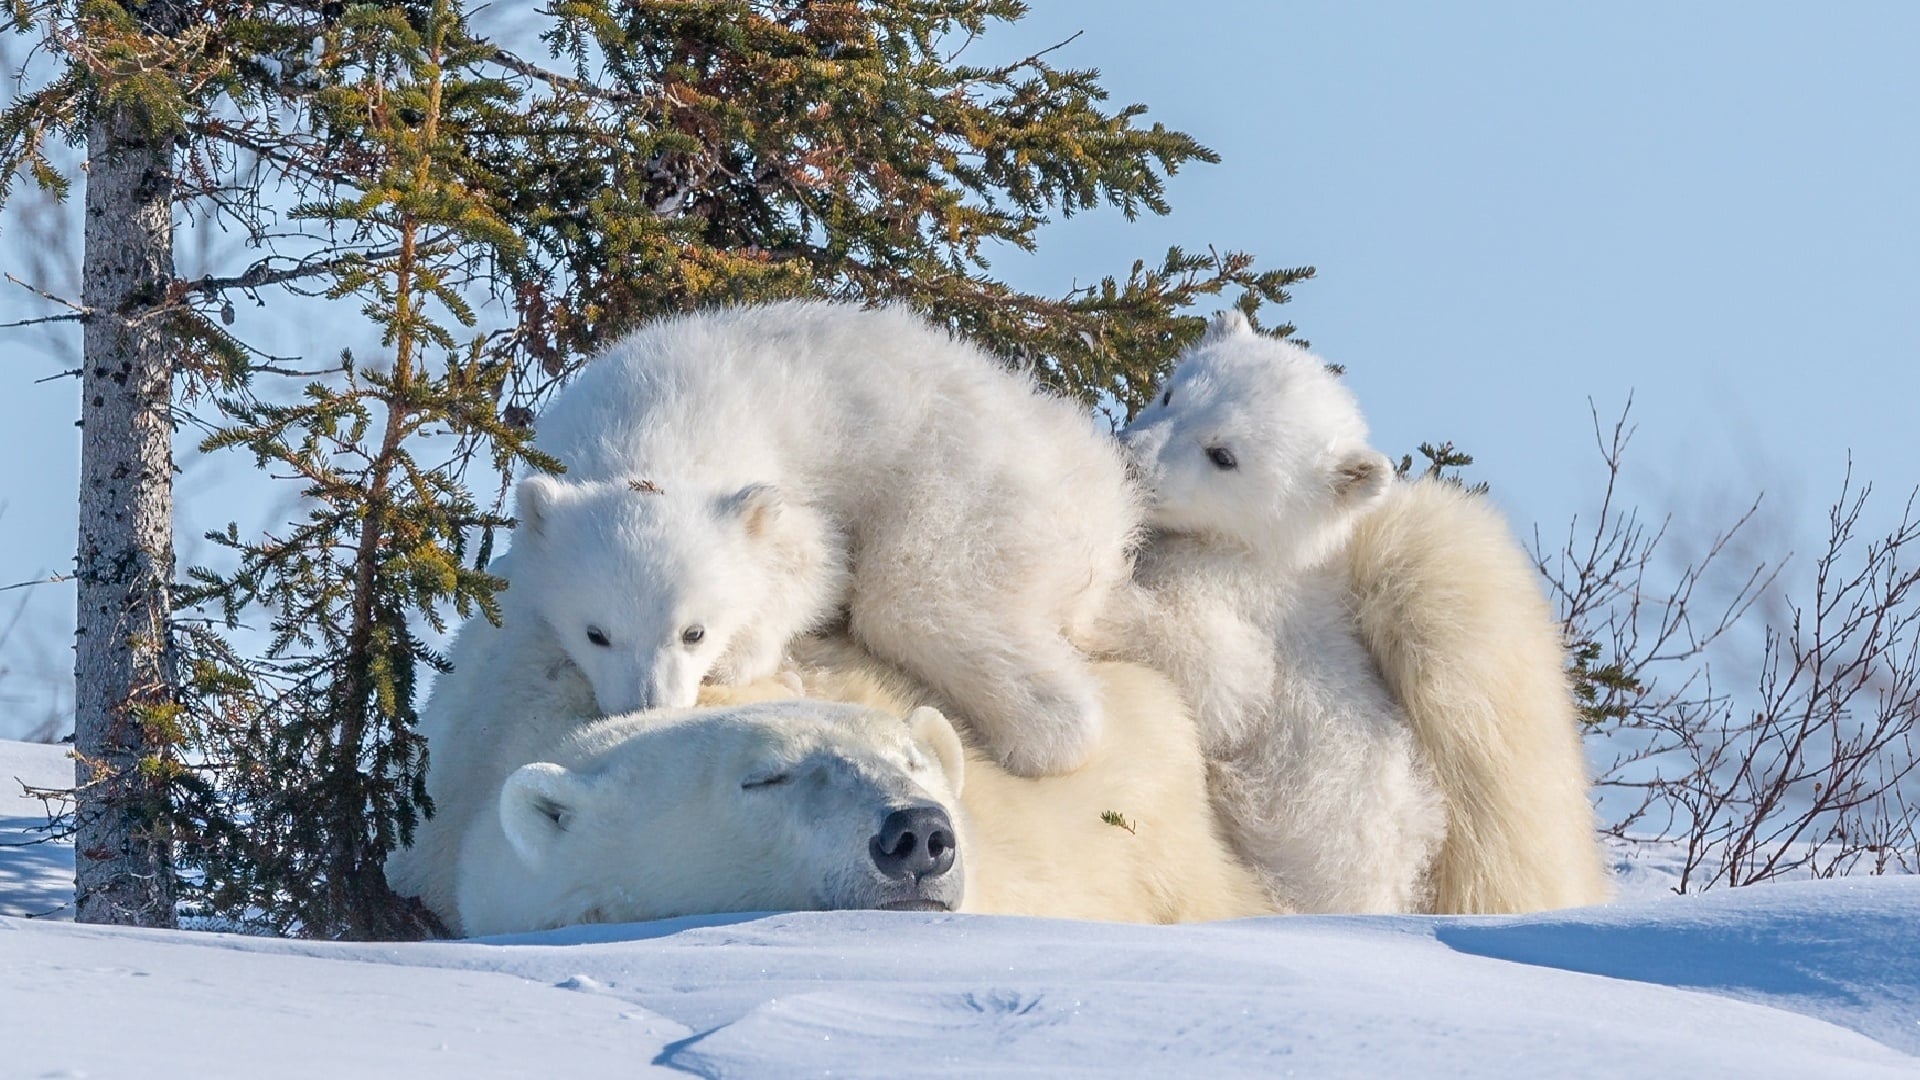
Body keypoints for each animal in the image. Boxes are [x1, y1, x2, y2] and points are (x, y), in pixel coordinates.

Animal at [510, 299, 1136, 772]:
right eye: (595, 633)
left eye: (694, 632)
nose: (649, 707)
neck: (647, 427)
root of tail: (1102, 489)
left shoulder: (776, 487)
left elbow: (819, 564)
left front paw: (740, 660)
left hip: (971, 490)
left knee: (915, 599)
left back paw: (1035, 740)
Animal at [1121, 309, 1612, 907]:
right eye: (1172, 393)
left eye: (1223, 455)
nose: (1132, 459)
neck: (1271, 553)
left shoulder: (1243, 598)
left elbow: (1215, 671)